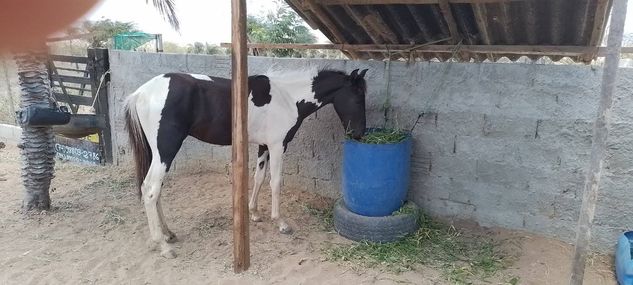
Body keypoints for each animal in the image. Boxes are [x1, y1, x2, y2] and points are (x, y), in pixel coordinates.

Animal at [124, 67, 368, 256]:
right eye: (357, 96)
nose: (359, 134)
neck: (288, 98)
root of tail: (141, 93)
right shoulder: (278, 146)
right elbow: (275, 182)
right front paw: (280, 223)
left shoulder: (264, 146)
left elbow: (258, 177)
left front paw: (255, 213)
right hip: (166, 150)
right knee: (151, 190)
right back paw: (163, 245)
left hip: (157, 153)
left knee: (154, 190)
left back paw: (168, 234)